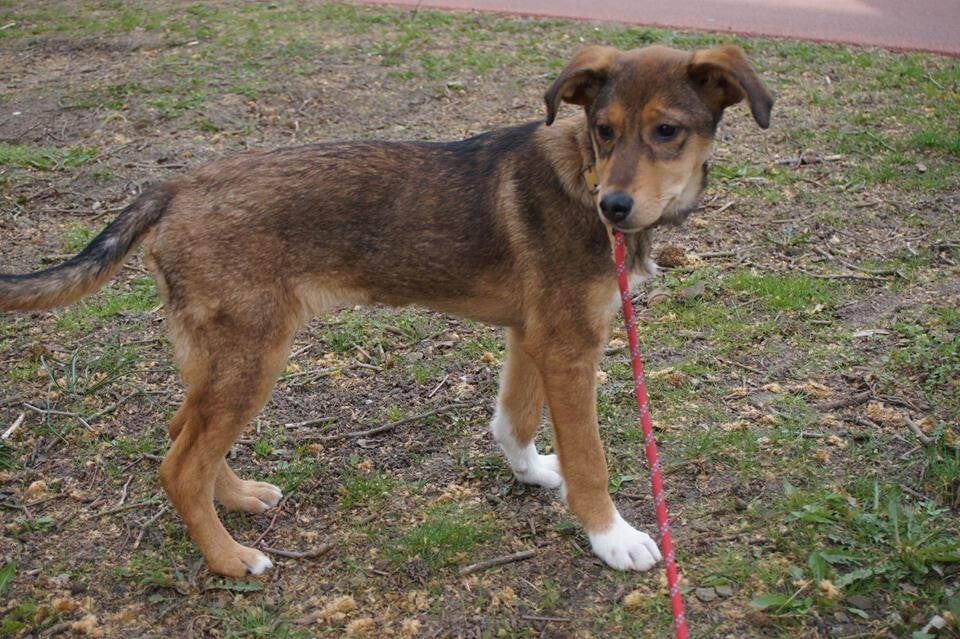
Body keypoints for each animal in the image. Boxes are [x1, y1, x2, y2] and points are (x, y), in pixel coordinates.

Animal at [0, 44, 772, 577]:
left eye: (667, 131)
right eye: (604, 129)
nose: (613, 206)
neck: (582, 172)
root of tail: (171, 189)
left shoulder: (533, 335)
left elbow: (513, 420)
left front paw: (529, 474)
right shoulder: (570, 344)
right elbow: (591, 460)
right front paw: (613, 538)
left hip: (217, 352)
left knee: (179, 432)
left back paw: (241, 497)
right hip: (253, 353)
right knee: (179, 465)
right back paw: (230, 558)